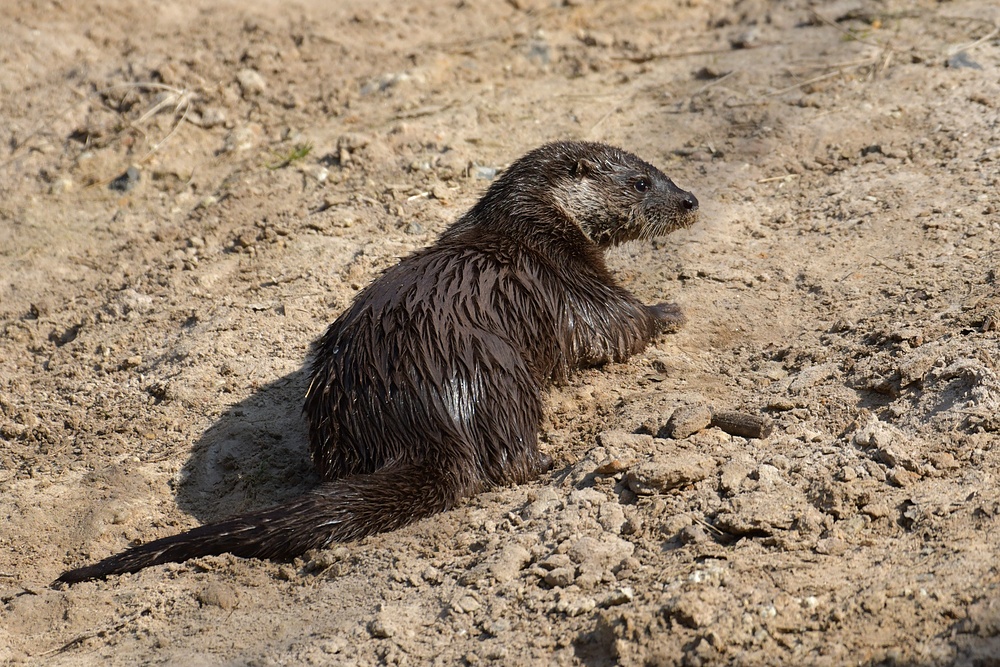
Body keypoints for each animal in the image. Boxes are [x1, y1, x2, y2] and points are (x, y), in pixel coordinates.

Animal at [54, 142, 696, 584]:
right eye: (641, 181)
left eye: (661, 171)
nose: (690, 199)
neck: (528, 222)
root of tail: (415, 414)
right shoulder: (565, 275)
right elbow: (613, 326)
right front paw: (669, 310)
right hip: (497, 367)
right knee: (507, 459)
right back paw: (555, 460)